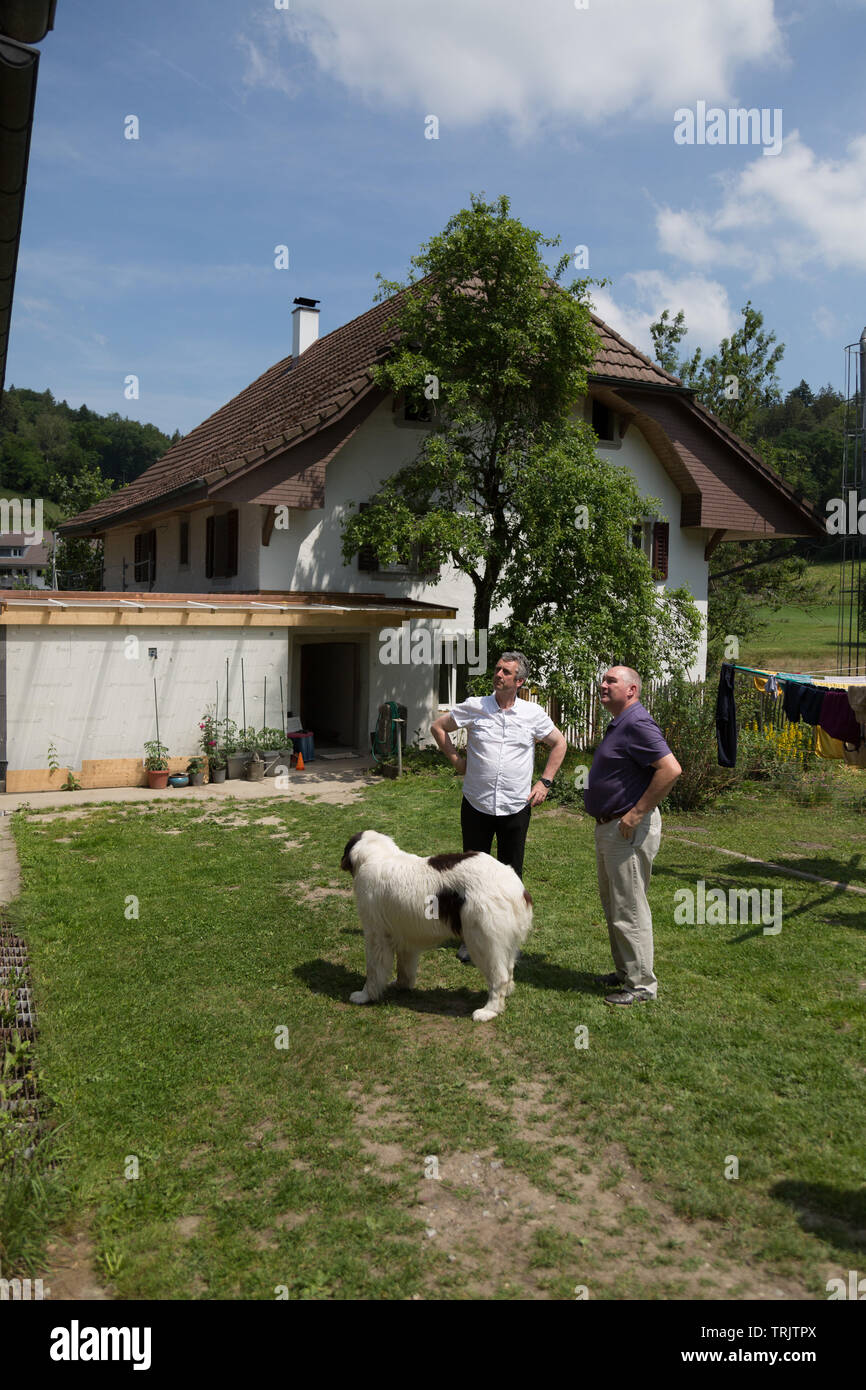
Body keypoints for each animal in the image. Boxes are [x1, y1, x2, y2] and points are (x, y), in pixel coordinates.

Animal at [340, 822, 530, 1023]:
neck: (378, 856)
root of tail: (516, 887)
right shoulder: (404, 934)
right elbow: (404, 966)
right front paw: (401, 985)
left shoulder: (376, 934)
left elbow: (373, 970)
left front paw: (364, 996)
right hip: (503, 943)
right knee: (509, 969)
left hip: (483, 941)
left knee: (499, 976)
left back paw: (488, 1011)